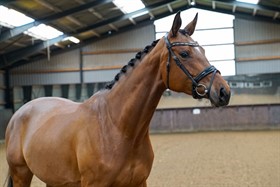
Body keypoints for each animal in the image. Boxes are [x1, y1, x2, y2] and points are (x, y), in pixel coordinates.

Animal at [5, 12, 231, 187]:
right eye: (184, 53)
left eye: (203, 50)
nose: (224, 91)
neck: (117, 127)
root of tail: (19, 113)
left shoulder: (139, 183)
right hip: (21, 174)